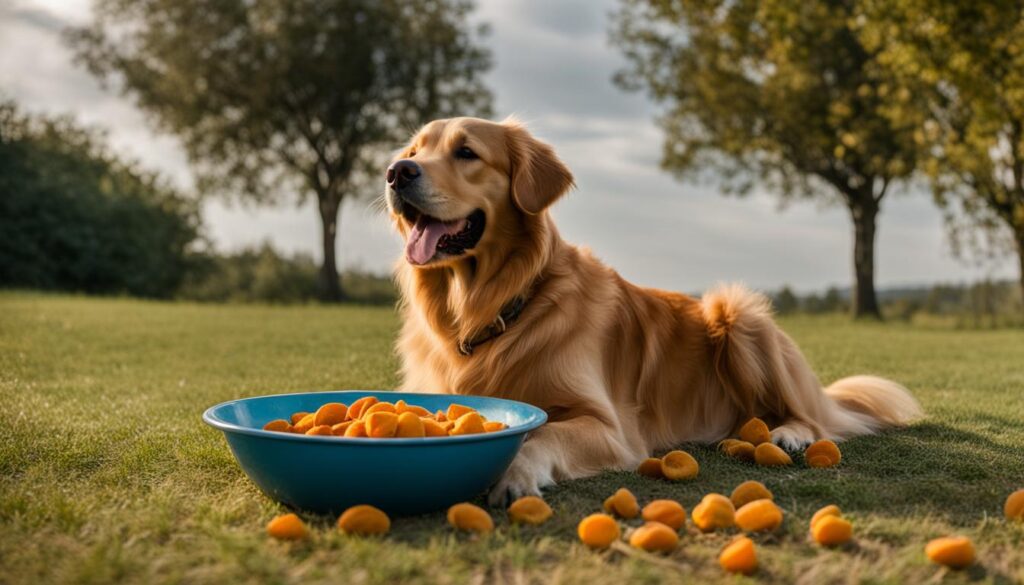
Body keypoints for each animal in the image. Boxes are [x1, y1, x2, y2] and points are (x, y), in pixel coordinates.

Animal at [382, 117, 921, 504]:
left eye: (466, 152)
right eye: (413, 152)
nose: (395, 173)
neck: (495, 305)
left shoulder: (608, 427)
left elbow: (539, 436)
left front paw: (514, 475)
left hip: (739, 312)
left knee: (814, 420)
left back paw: (788, 433)